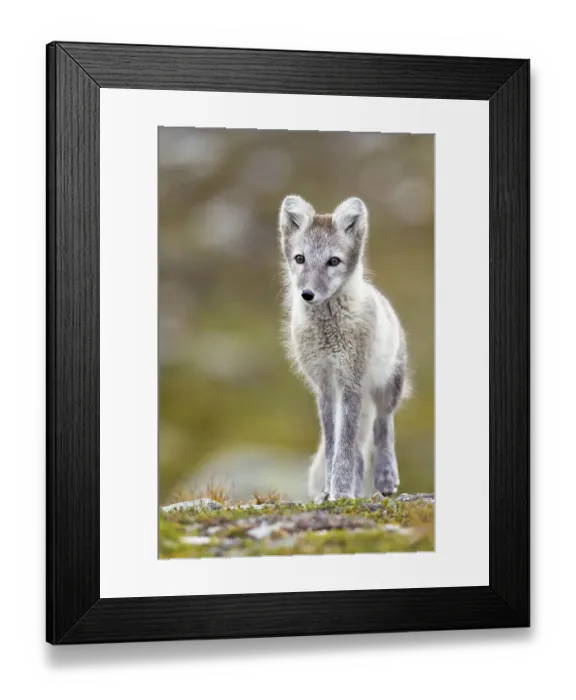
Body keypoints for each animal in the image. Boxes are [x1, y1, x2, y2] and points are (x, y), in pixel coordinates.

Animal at [278, 194, 411, 502]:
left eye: (333, 261)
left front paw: (339, 491)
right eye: (300, 258)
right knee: (360, 452)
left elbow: (345, 447)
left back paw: (385, 477)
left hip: (387, 387)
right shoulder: (325, 387)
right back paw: (357, 487)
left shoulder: (351, 383)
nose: (307, 294)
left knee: (383, 426)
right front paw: (330, 490)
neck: (328, 332)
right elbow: (333, 445)